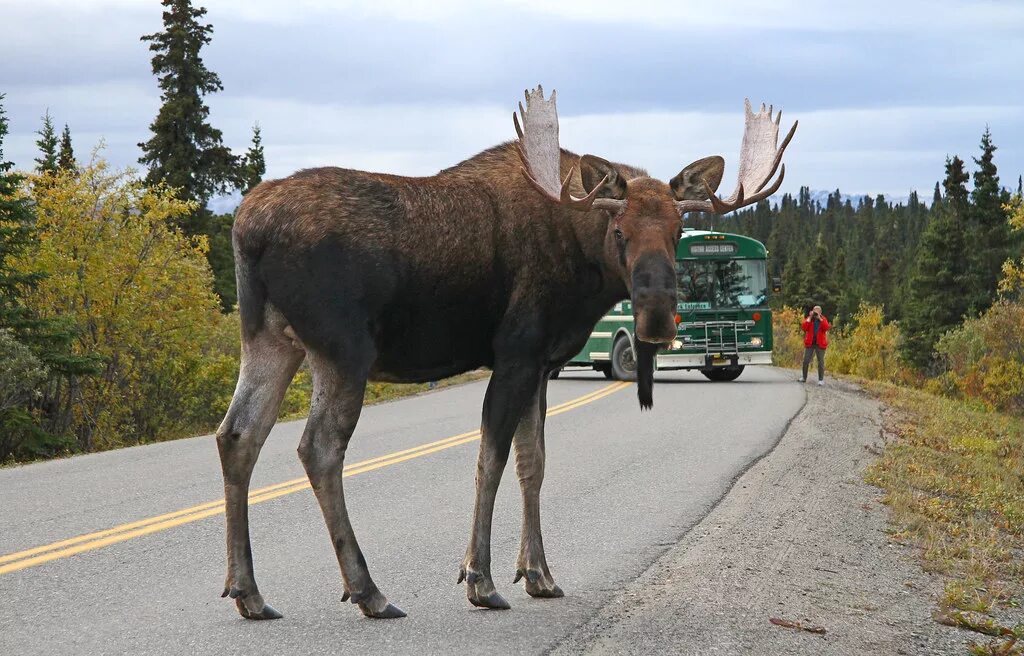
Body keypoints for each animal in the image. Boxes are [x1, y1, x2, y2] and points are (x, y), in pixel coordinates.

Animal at [214, 88, 790, 618]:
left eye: (676, 231)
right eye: (619, 230)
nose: (656, 318)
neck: (582, 266)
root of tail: (246, 227)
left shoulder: (542, 365)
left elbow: (532, 462)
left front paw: (538, 574)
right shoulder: (516, 353)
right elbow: (490, 460)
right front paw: (480, 579)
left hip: (269, 339)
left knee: (237, 435)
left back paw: (249, 592)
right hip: (343, 349)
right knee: (318, 448)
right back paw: (367, 590)